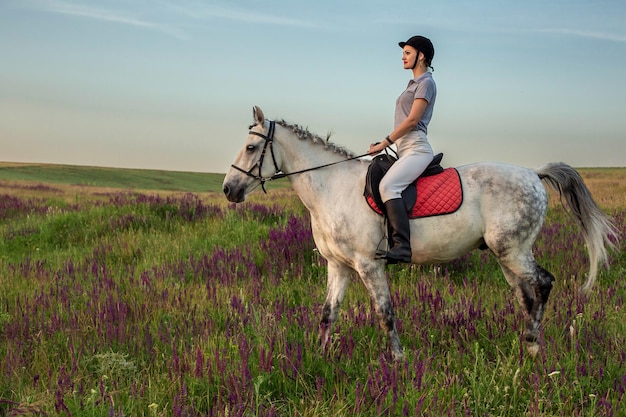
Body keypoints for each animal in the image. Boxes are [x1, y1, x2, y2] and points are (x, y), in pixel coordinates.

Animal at [221, 105, 616, 360]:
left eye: (252, 147)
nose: (228, 189)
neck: (332, 186)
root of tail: (534, 173)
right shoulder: (339, 266)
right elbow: (328, 313)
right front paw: (319, 357)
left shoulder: (368, 265)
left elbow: (385, 313)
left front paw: (398, 361)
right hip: (507, 255)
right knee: (526, 294)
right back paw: (527, 345)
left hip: (514, 251)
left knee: (544, 284)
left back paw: (533, 345)